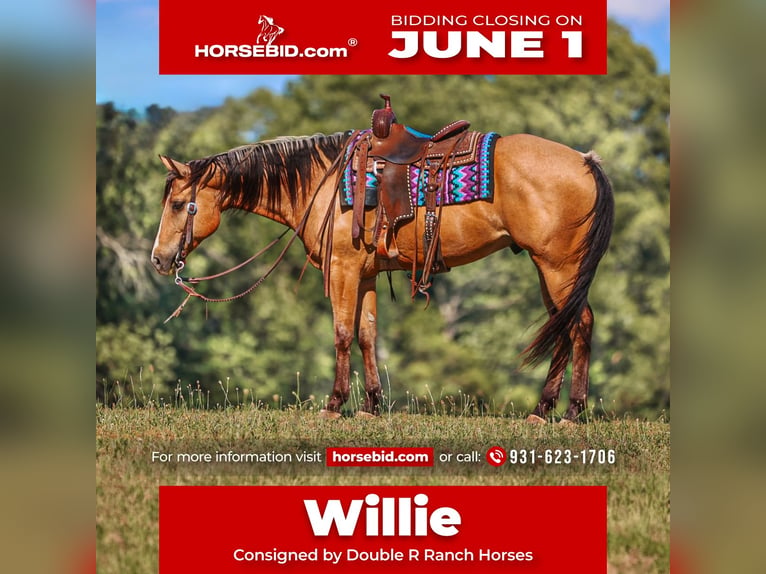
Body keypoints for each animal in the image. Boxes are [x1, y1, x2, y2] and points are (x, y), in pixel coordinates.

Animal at [150, 126, 614, 423]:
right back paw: (543, 410)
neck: (324, 183)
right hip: (549, 268)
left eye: (177, 204)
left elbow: (341, 333)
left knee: (580, 326)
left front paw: (334, 405)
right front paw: (371, 405)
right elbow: (367, 335)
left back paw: (571, 412)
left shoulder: (343, 269)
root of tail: (584, 160)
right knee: (563, 327)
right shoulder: (366, 273)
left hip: (558, 266)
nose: (158, 259)